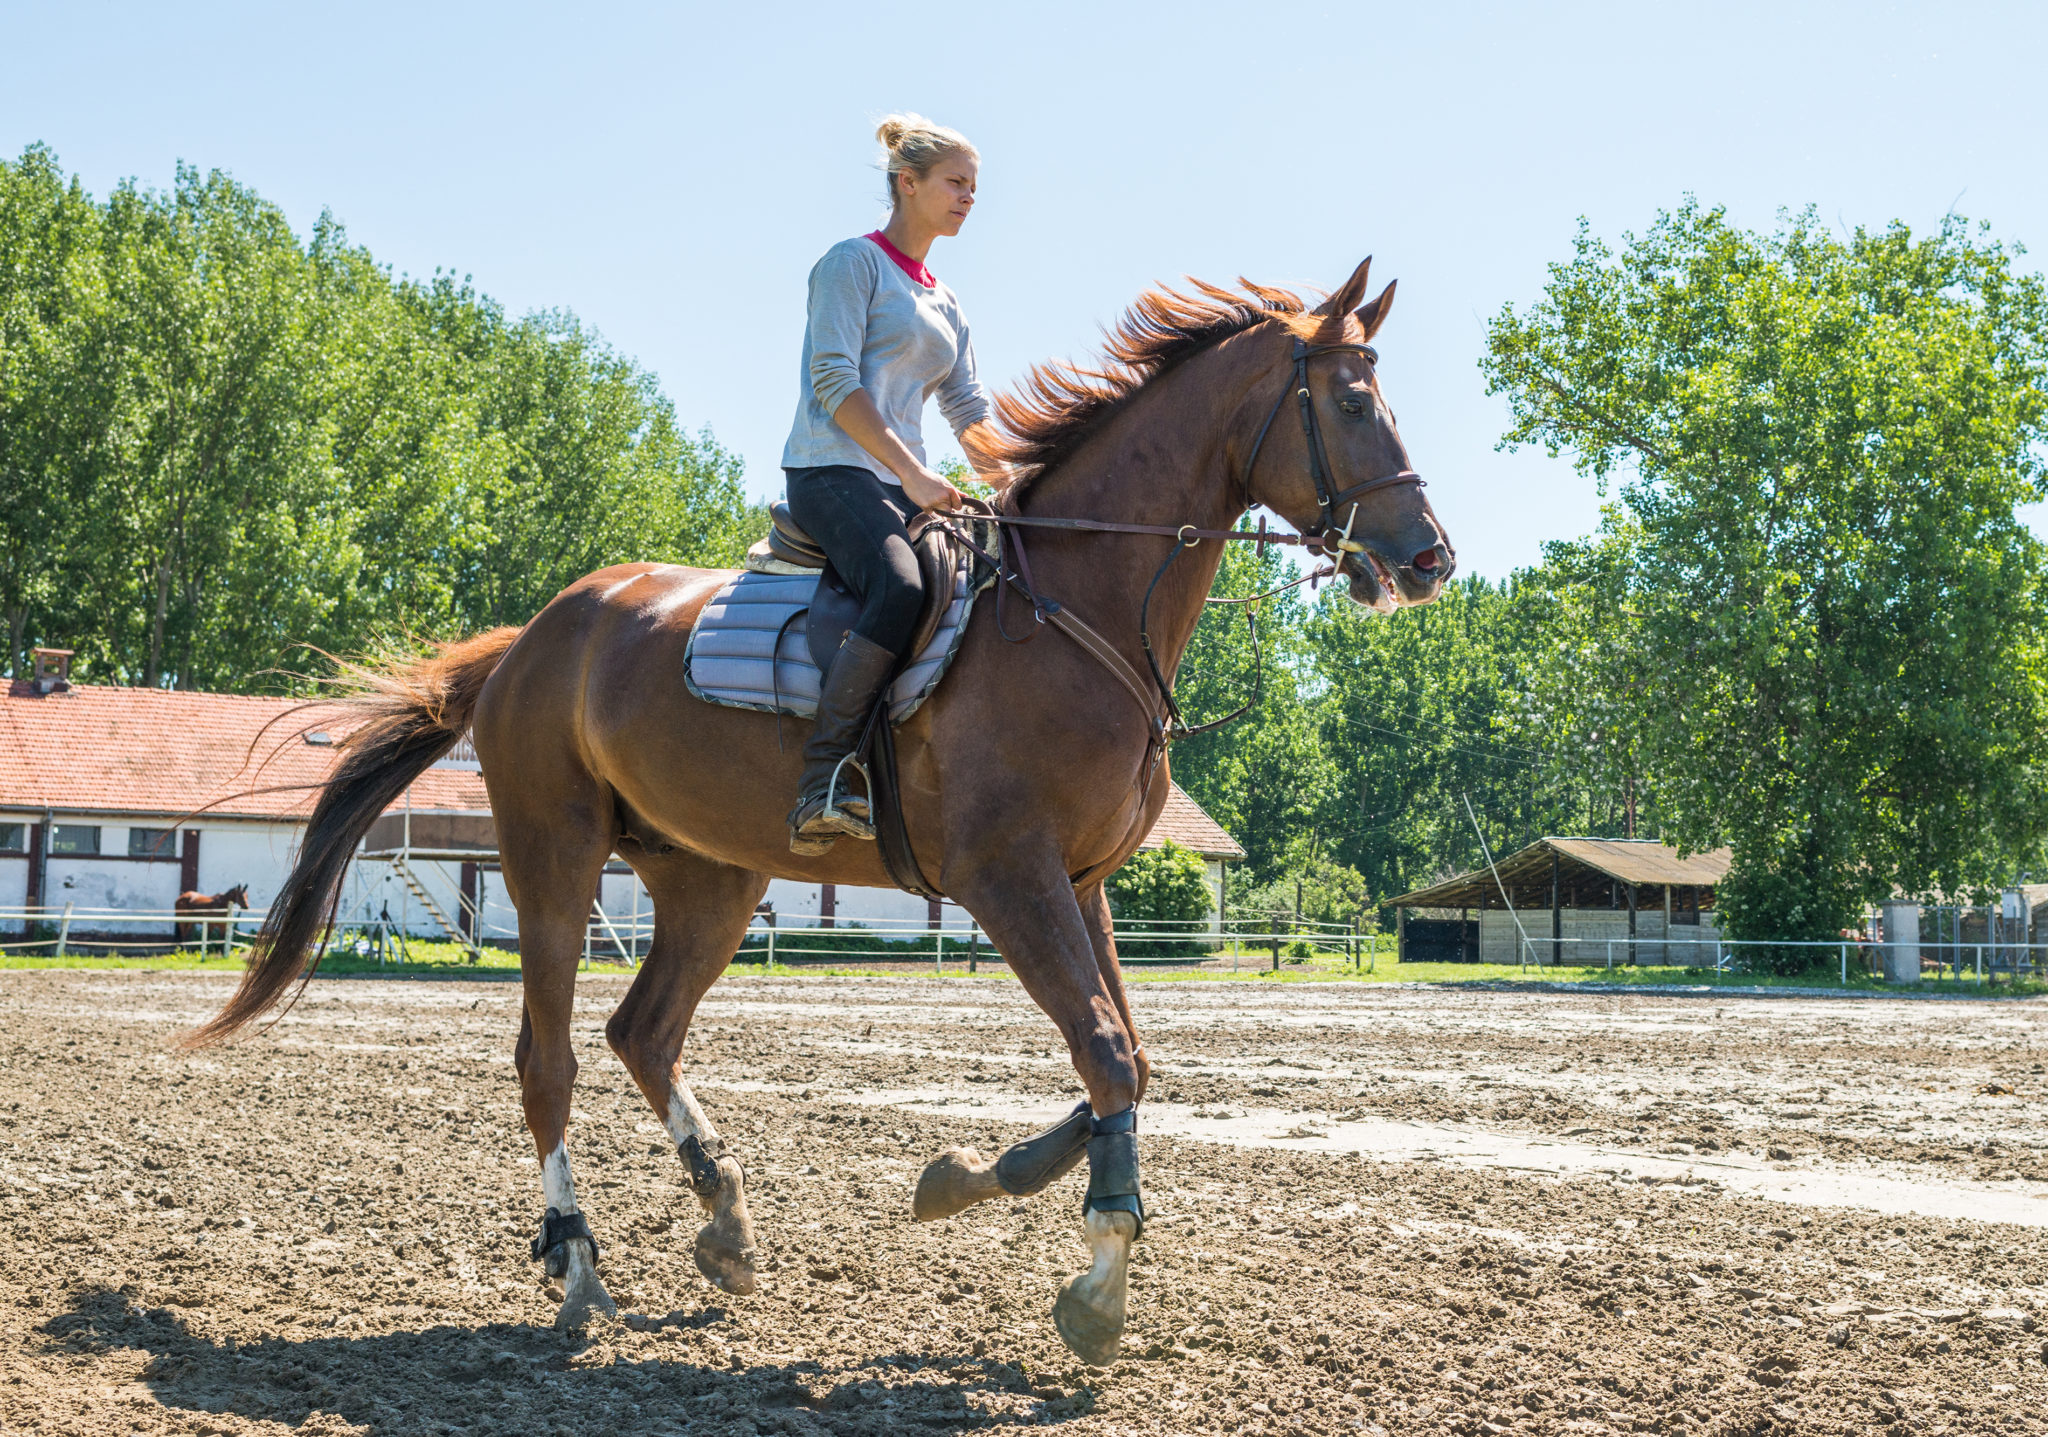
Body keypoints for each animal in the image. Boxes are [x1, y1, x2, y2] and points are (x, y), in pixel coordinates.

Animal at [184, 258, 1449, 1375]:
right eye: (1350, 402)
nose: (1428, 556)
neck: (1072, 613)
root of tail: (531, 639)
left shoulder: (1081, 883)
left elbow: (1122, 1060)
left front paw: (979, 1177)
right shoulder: (1008, 875)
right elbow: (1104, 1054)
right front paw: (1096, 1284)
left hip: (710, 876)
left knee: (642, 1032)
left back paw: (726, 1224)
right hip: (554, 853)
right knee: (548, 1058)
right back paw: (579, 1268)